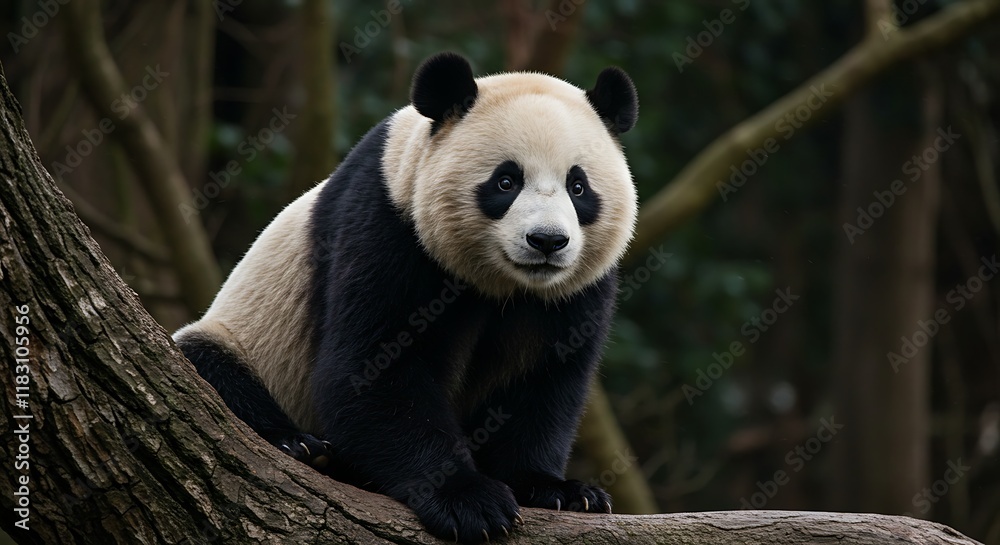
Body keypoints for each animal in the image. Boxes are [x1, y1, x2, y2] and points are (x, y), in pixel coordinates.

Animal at [174, 52, 638, 544]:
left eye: (578, 187)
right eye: (506, 181)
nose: (547, 241)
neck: (501, 285)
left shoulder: (572, 292)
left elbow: (542, 379)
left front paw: (559, 490)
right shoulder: (389, 224)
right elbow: (372, 368)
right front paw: (468, 499)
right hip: (245, 340)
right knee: (210, 365)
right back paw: (301, 445)